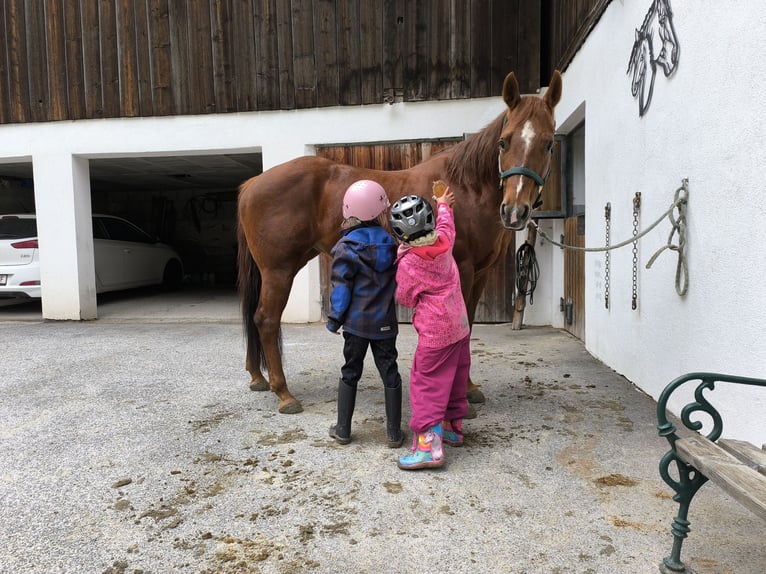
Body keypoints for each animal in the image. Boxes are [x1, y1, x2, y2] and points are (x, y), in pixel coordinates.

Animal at [237, 70, 562, 414]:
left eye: (549, 144)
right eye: (504, 141)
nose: (514, 211)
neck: (465, 187)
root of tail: (252, 183)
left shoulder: (481, 274)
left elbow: (469, 323)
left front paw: (469, 388)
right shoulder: (462, 269)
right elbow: (460, 326)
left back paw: (258, 378)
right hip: (279, 270)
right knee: (266, 319)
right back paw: (284, 393)